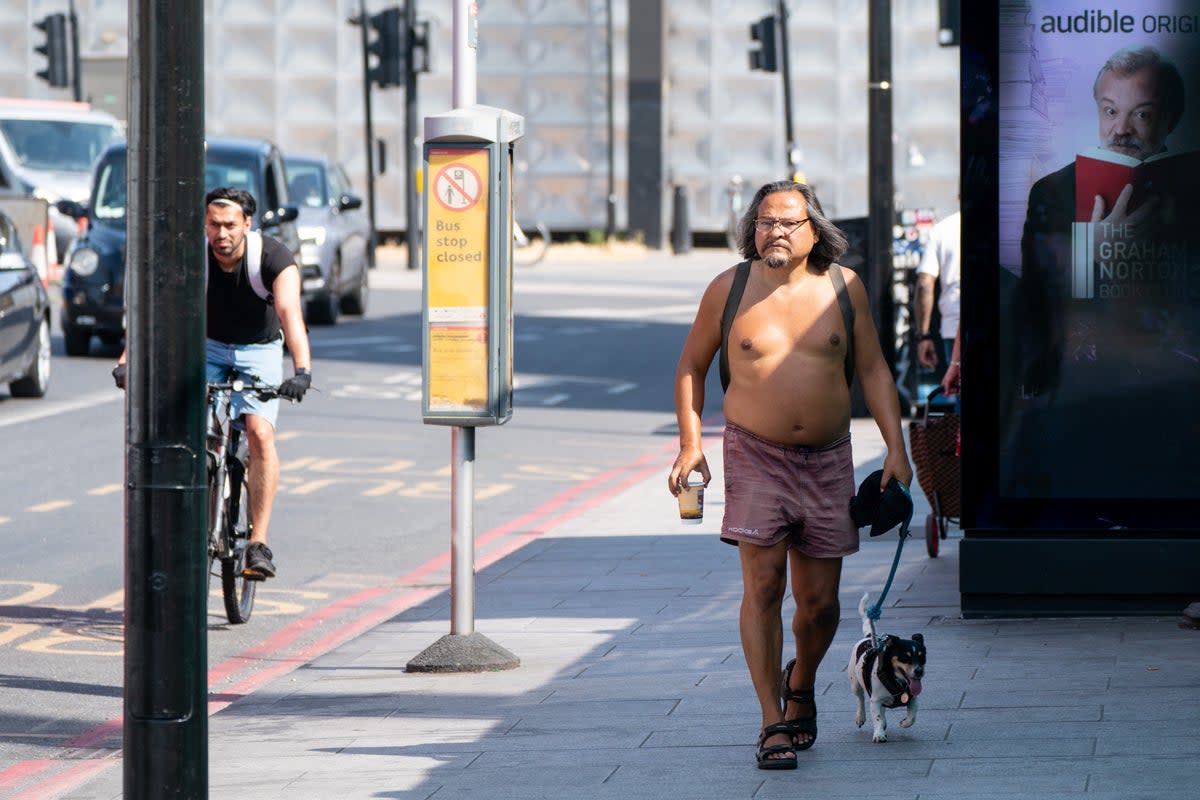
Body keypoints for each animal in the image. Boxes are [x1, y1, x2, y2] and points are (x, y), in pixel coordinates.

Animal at [849, 594, 921, 743]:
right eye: (905, 657)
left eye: (922, 656)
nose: (919, 672)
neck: (897, 681)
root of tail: (869, 638)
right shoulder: (875, 700)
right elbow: (876, 717)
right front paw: (879, 734)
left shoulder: (913, 699)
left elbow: (912, 716)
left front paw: (905, 722)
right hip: (855, 684)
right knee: (860, 699)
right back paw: (860, 716)